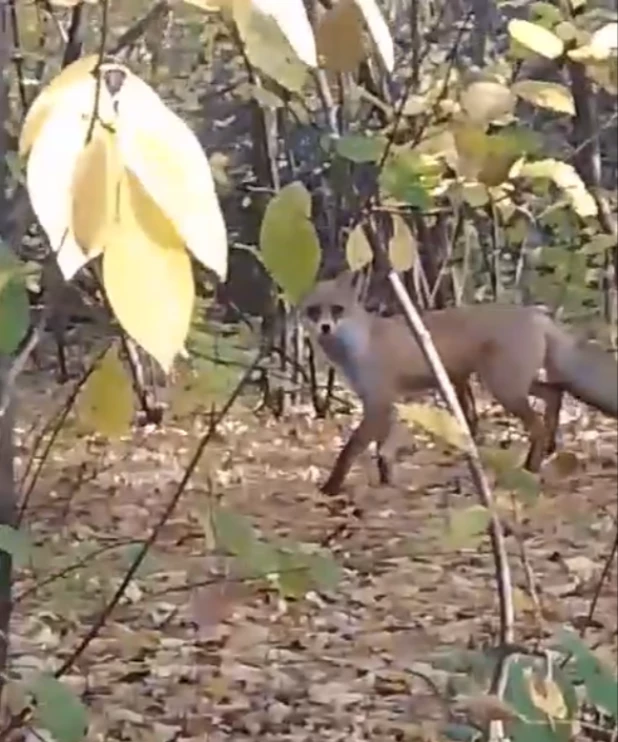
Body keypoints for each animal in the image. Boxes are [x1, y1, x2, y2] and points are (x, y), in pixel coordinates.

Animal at [298, 272, 616, 494]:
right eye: (313, 311)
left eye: (337, 310)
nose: (325, 328)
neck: (359, 345)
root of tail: (535, 313)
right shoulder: (387, 404)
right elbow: (383, 451)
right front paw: (387, 482)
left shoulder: (379, 401)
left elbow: (350, 451)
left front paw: (331, 488)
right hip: (512, 384)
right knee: (555, 391)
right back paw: (550, 446)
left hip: (503, 388)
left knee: (539, 419)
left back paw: (530, 468)